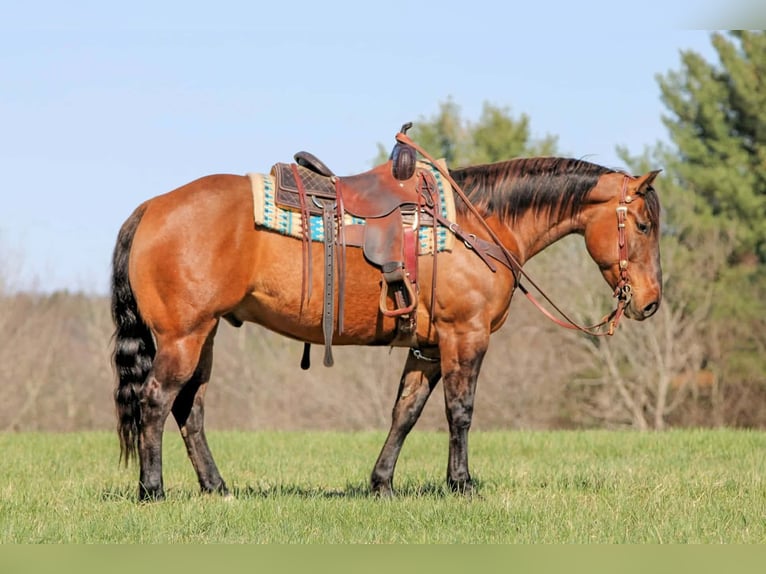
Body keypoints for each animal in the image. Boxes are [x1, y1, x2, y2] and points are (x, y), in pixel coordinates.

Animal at [111, 140, 662, 500]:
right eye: (642, 225)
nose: (651, 302)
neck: (477, 223)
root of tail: (151, 207)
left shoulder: (429, 347)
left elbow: (406, 412)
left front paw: (381, 484)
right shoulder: (465, 336)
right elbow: (460, 412)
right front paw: (461, 485)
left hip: (203, 336)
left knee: (190, 410)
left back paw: (217, 487)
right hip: (183, 337)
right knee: (156, 401)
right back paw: (152, 490)